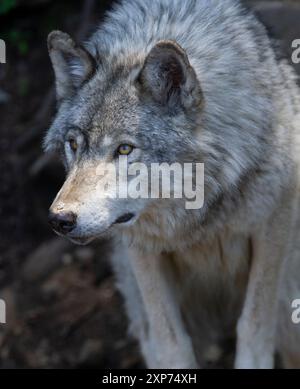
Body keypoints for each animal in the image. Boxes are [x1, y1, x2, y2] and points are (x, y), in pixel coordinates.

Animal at [44, 0, 300, 368]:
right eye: (74, 145)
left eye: (124, 149)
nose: (60, 219)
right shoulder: (142, 247)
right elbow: (171, 342)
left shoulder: (273, 224)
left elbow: (254, 322)